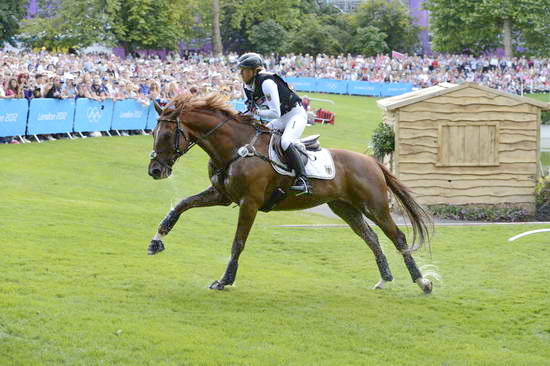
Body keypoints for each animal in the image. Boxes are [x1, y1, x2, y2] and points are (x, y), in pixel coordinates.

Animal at [147, 93, 436, 294]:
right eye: (152, 133)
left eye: (167, 135)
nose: (155, 170)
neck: (235, 148)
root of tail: (372, 162)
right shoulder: (221, 195)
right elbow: (180, 205)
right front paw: (156, 241)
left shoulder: (249, 203)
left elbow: (238, 242)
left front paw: (225, 280)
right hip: (346, 209)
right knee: (372, 238)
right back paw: (384, 279)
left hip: (374, 206)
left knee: (397, 237)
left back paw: (422, 282)